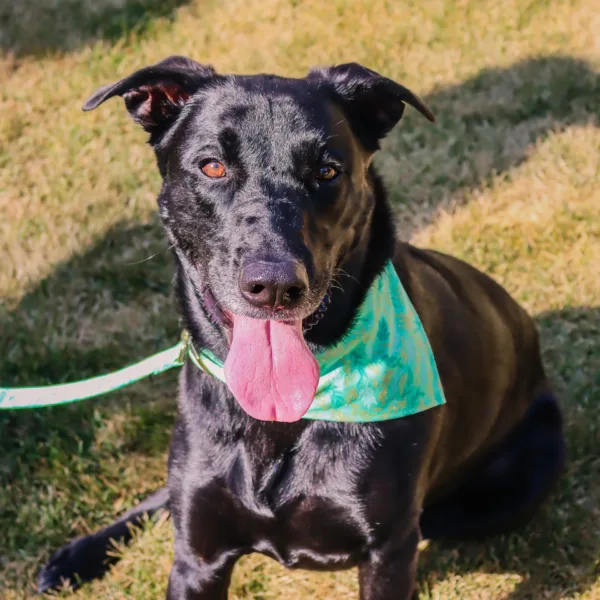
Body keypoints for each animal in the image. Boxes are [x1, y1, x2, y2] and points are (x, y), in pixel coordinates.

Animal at [38, 57, 568, 600]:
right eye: (213, 166)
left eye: (327, 170)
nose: (273, 286)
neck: (279, 419)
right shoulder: (197, 558)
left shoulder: (389, 552)